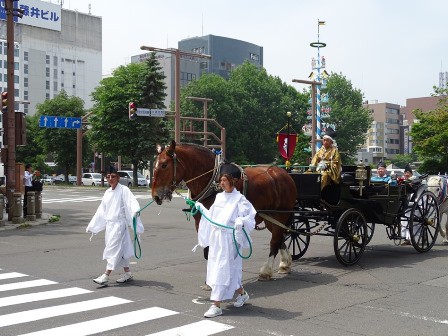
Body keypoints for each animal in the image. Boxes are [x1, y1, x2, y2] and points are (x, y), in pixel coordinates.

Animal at [151, 140, 298, 280]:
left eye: (164, 165)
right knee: (279, 237)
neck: (212, 181)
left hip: (280, 214)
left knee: (274, 241)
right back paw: (285, 263)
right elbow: (208, 248)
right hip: (269, 217)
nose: (155, 196)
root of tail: (283, 173)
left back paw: (266, 270)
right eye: (154, 164)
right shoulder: (200, 221)